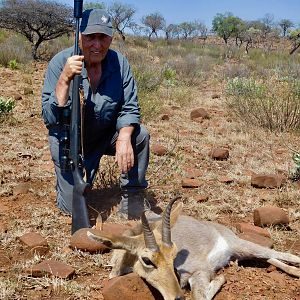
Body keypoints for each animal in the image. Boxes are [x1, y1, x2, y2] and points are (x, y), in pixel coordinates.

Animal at [86, 197, 300, 300]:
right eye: (147, 260)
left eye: (174, 254)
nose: (177, 298)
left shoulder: (200, 271)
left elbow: (199, 296)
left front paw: (220, 278)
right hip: (243, 253)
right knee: (270, 259)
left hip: (245, 246)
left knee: (285, 255)